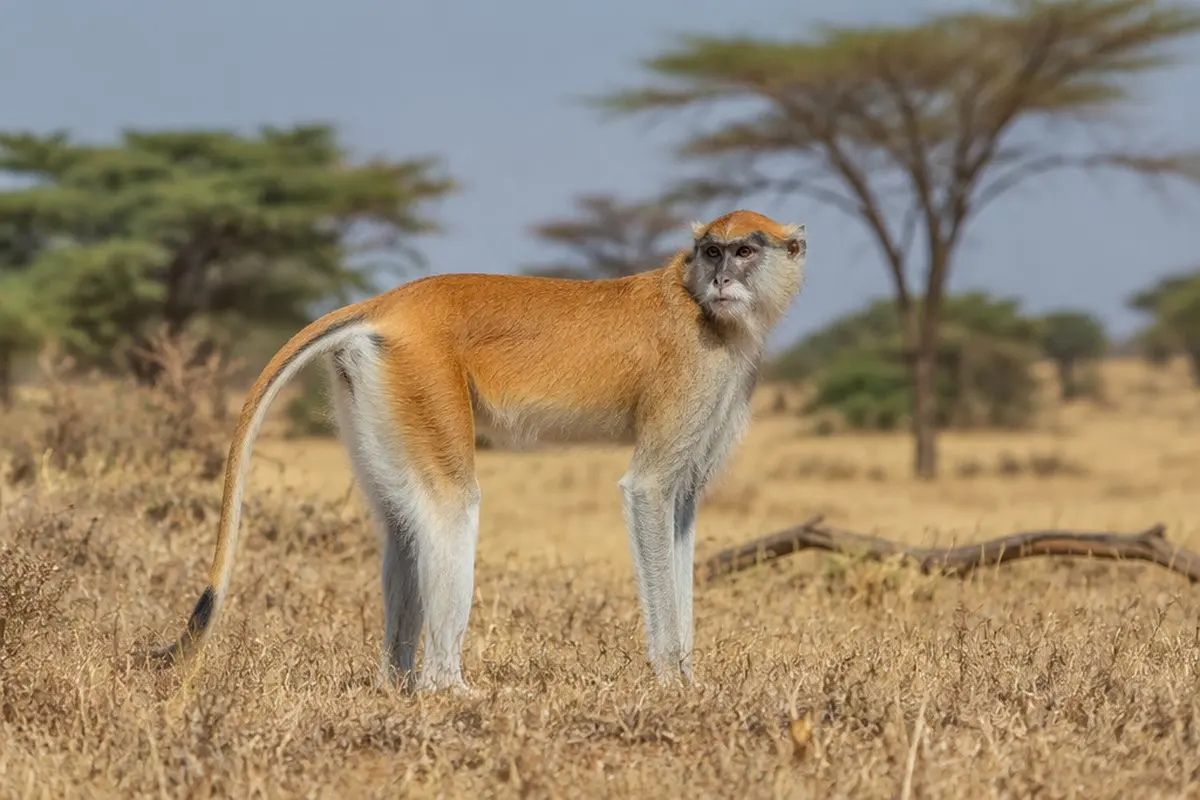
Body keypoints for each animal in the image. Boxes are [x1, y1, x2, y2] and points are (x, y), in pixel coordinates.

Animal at [150, 209, 807, 693]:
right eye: (712, 252)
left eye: (744, 251)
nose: (722, 280)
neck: (698, 304)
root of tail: (391, 303)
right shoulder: (691, 371)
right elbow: (648, 491)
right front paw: (673, 680)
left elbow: (682, 507)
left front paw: (691, 675)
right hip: (423, 374)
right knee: (450, 507)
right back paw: (447, 688)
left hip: (373, 381)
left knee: (401, 522)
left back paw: (395, 685)